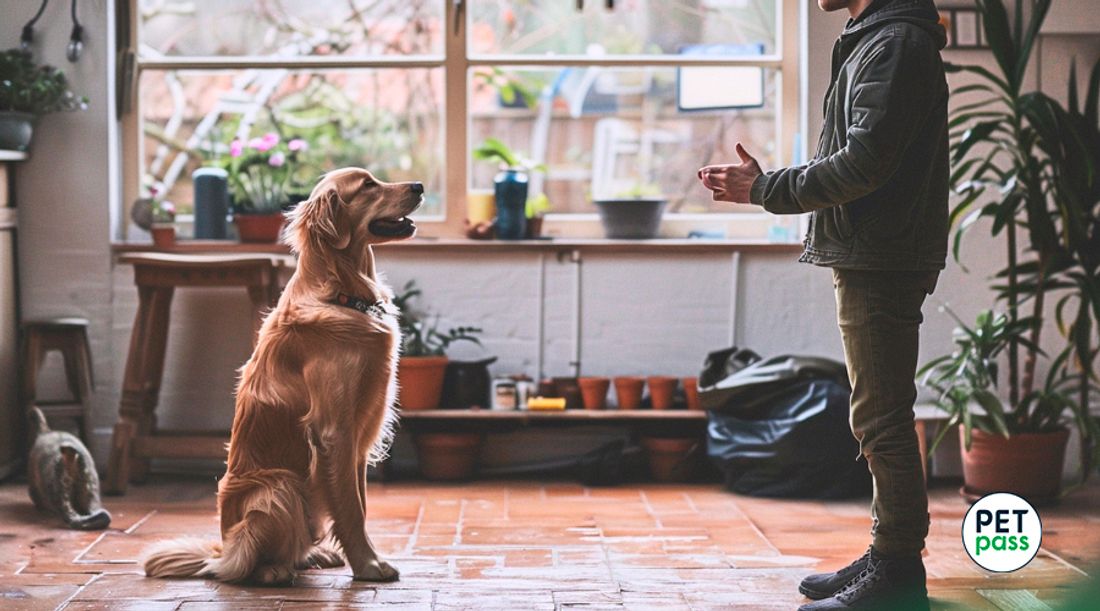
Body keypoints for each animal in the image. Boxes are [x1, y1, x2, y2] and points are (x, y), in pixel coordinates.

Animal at [144, 168, 418, 590]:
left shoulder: (358, 437)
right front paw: (368, 565)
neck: (340, 293)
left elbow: (359, 502)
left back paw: (314, 556)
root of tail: (225, 545)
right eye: (368, 185)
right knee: (240, 567)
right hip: (280, 487)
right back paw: (273, 570)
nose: (419, 187)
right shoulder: (334, 430)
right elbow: (351, 509)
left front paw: (362, 557)